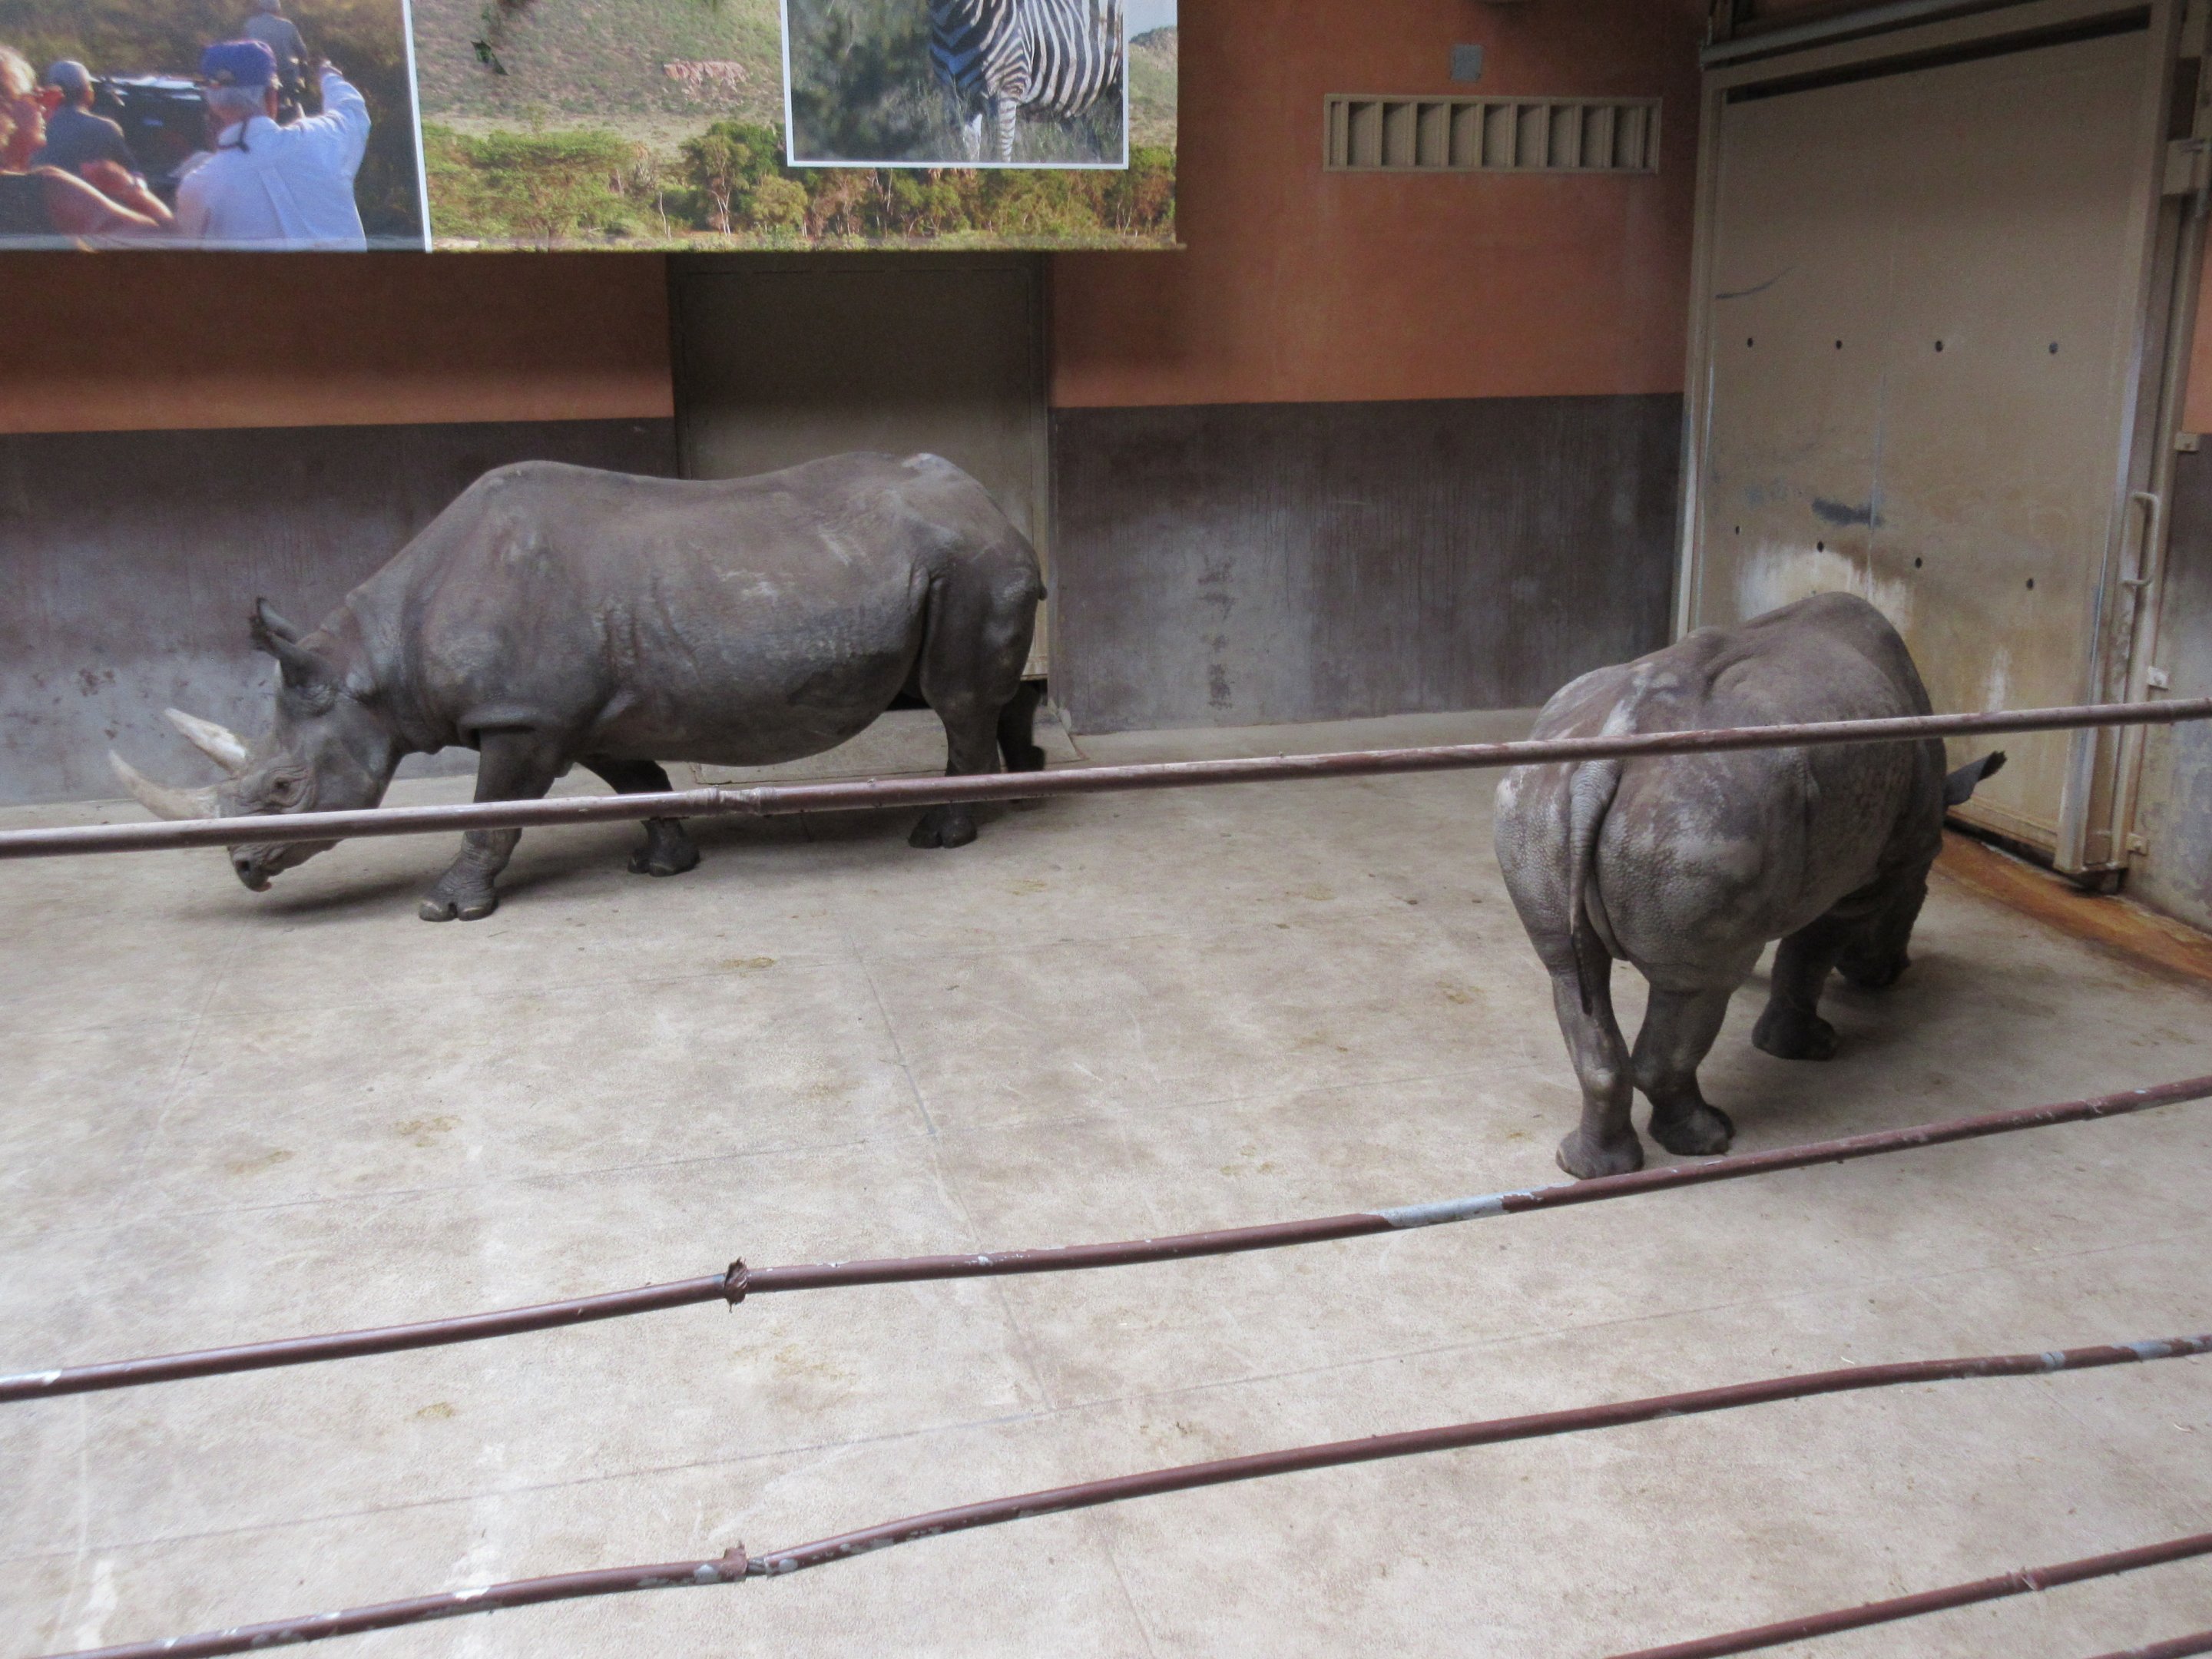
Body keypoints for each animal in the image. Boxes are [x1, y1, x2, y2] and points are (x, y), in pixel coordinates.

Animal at [111, 452, 1046, 921]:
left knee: (957, 701)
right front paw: (662, 864)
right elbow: (641, 783)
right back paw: (1023, 790)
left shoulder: (519, 718)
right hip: (949, 561)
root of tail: (993, 506)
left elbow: (493, 813)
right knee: (975, 695)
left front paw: (447, 908)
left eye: (283, 788)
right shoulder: (580, 715)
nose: (244, 869)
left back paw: (940, 836)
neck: (374, 661)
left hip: (968, 567)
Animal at [1493, 592, 2005, 1180]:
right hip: (1703, 818)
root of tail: (1609, 752)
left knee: (1571, 970)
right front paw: (1810, 1048)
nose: (1892, 973)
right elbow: (1807, 955)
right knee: (1698, 984)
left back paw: (1588, 1167)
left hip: (1539, 797)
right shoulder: (1876, 876)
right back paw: (1711, 1138)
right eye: (1917, 903)